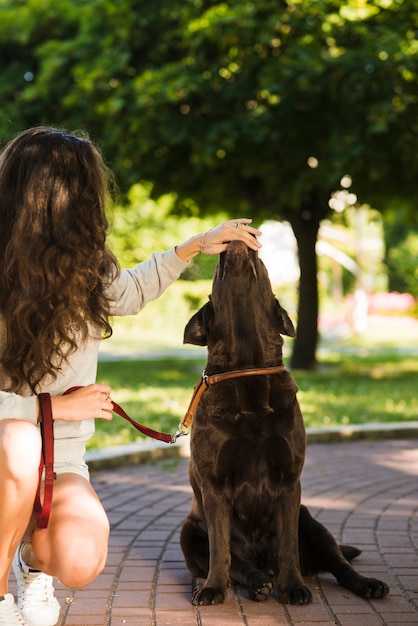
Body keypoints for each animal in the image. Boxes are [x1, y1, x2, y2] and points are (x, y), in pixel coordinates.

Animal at [180, 239, 388, 604]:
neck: (248, 365)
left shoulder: (291, 480)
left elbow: (289, 544)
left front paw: (292, 586)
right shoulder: (214, 485)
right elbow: (220, 548)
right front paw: (214, 588)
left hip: (311, 521)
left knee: (337, 562)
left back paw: (366, 583)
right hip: (188, 532)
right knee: (234, 564)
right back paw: (256, 581)